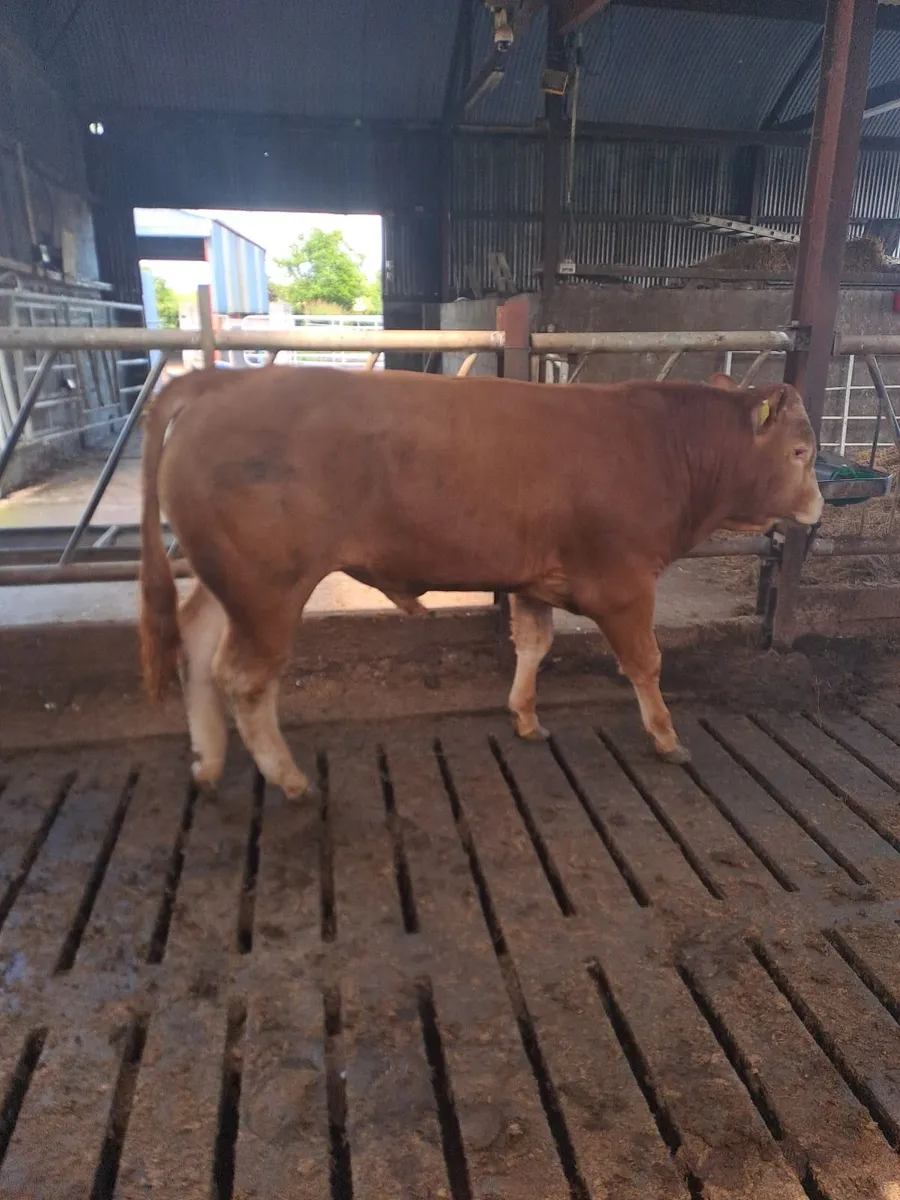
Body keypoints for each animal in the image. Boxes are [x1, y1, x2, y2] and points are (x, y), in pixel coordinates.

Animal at [139, 365, 823, 800]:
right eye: (800, 452)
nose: (818, 507)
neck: (664, 446)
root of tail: (225, 379)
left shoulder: (533, 577)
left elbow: (534, 644)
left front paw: (525, 716)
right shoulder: (624, 583)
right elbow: (646, 662)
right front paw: (666, 736)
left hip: (227, 579)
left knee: (196, 644)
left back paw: (208, 762)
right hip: (268, 586)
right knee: (244, 678)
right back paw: (288, 779)